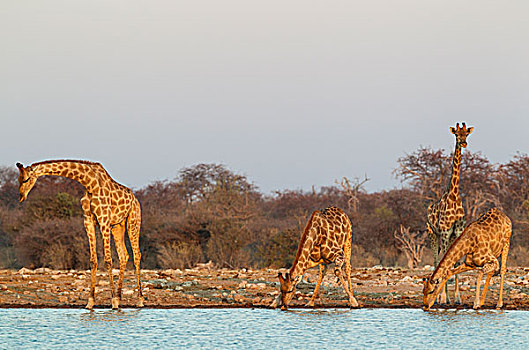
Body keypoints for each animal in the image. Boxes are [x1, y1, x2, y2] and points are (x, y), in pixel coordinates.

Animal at [16, 159, 144, 308]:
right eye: (19, 179)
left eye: (26, 179)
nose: (21, 196)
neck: (89, 183)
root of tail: (135, 200)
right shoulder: (88, 221)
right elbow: (93, 260)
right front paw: (90, 302)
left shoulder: (104, 220)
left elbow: (108, 260)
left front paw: (112, 302)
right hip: (117, 226)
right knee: (124, 255)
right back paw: (119, 297)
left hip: (133, 220)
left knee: (136, 255)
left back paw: (139, 300)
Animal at [426, 122, 472, 304]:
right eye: (457, 135)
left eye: (467, 134)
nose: (464, 143)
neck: (454, 196)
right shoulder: (444, 232)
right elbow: (444, 263)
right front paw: (443, 298)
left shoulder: (457, 232)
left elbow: (456, 263)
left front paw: (458, 298)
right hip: (432, 234)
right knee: (436, 260)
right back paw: (438, 297)